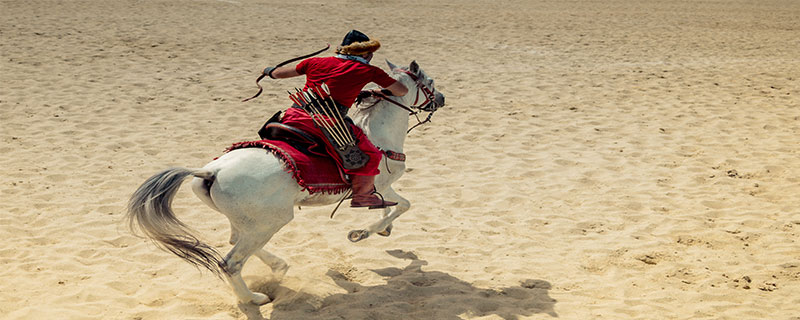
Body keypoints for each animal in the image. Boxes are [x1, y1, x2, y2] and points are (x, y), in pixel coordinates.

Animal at [128, 60, 446, 308]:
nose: (441, 99)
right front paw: (363, 232)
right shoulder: (381, 184)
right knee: (230, 262)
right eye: (429, 81)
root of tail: (211, 171)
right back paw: (254, 298)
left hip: (250, 221)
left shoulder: (383, 189)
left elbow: (393, 206)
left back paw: (276, 268)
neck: (376, 132)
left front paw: (382, 229)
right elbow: (403, 204)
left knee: (235, 242)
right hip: (271, 221)